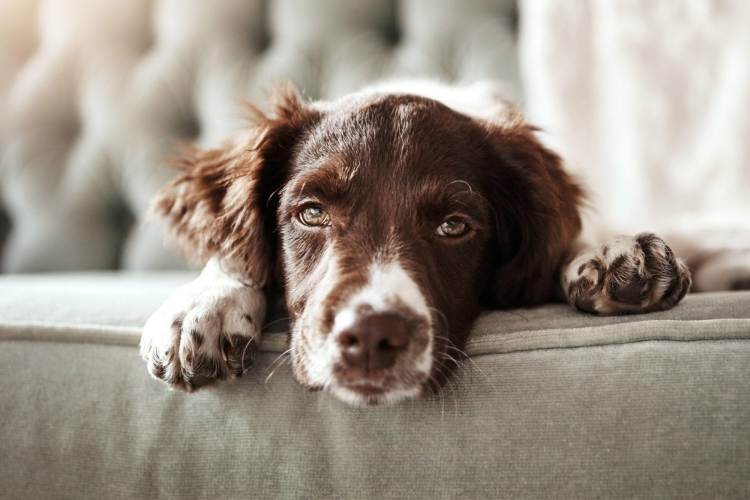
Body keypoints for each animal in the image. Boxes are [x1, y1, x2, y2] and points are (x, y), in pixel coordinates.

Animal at [142, 79, 712, 406]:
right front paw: (203, 306)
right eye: (311, 213)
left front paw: (613, 255)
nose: (372, 335)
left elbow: (568, 241)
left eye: (454, 226)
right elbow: (232, 256)